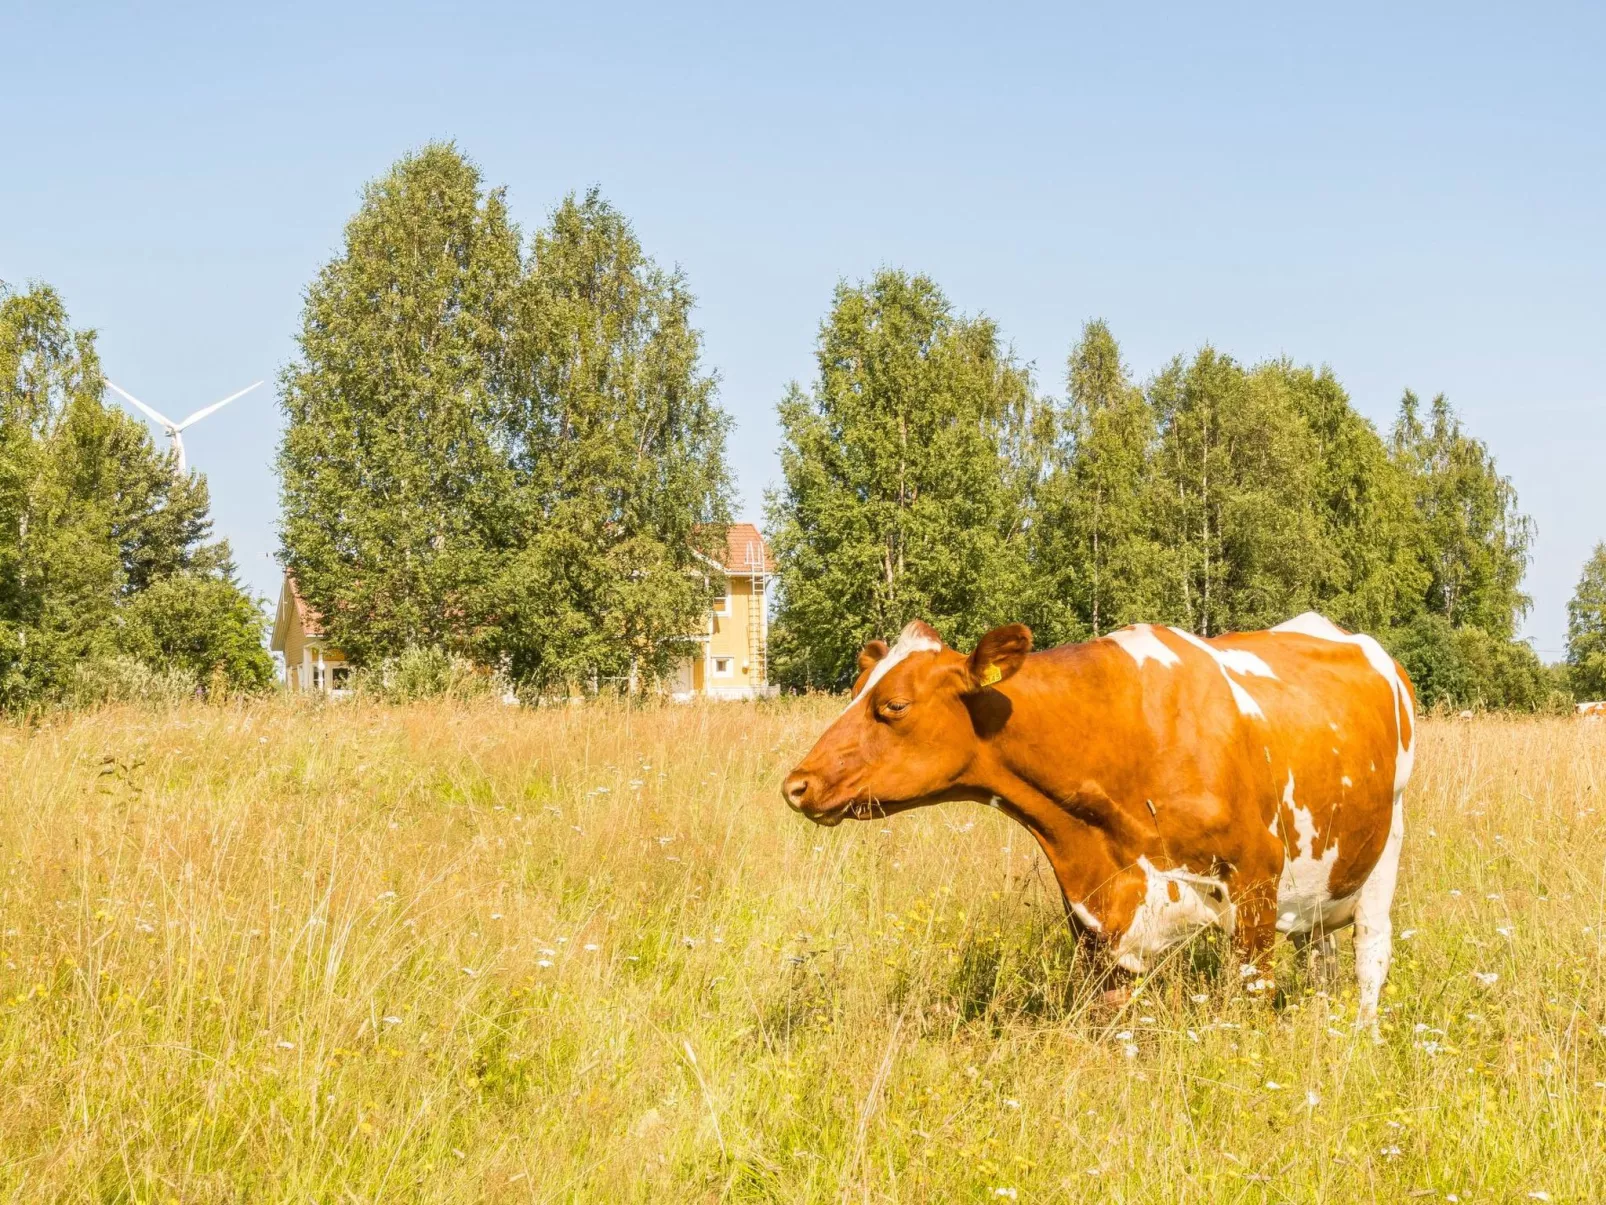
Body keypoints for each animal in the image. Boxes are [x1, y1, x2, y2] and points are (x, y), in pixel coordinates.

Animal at [783, 613, 1413, 1021]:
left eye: (894, 705)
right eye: (855, 689)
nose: (797, 785)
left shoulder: (1256, 882)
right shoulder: (1095, 920)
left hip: (1384, 846)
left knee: (1369, 959)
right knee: (1321, 957)